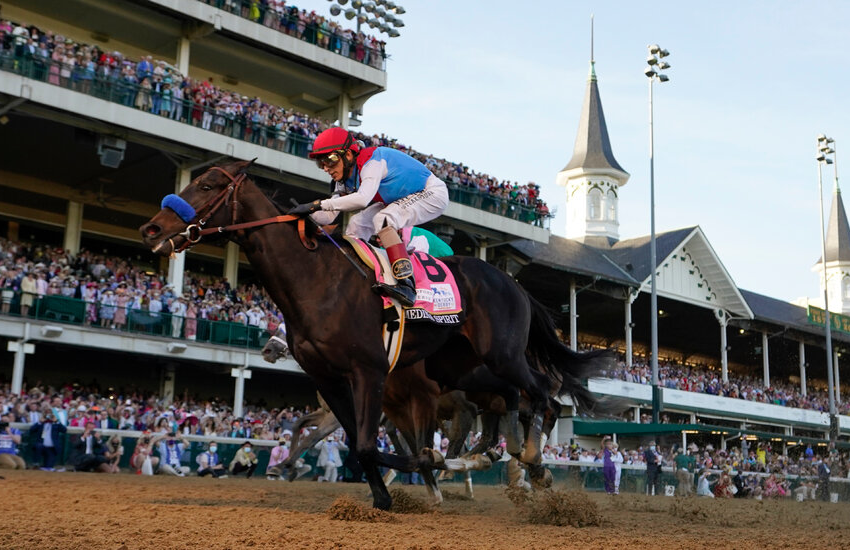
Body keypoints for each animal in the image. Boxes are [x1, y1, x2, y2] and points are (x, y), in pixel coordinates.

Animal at [139, 160, 608, 508]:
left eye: (208, 184)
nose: (152, 229)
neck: (316, 279)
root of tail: (516, 285)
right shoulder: (332, 379)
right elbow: (353, 440)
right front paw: (385, 494)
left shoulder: (370, 372)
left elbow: (371, 445)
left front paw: (421, 468)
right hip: (457, 367)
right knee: (512, 401)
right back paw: (510, 461)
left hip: (502, 353)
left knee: (543, 392)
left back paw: (534, 462)